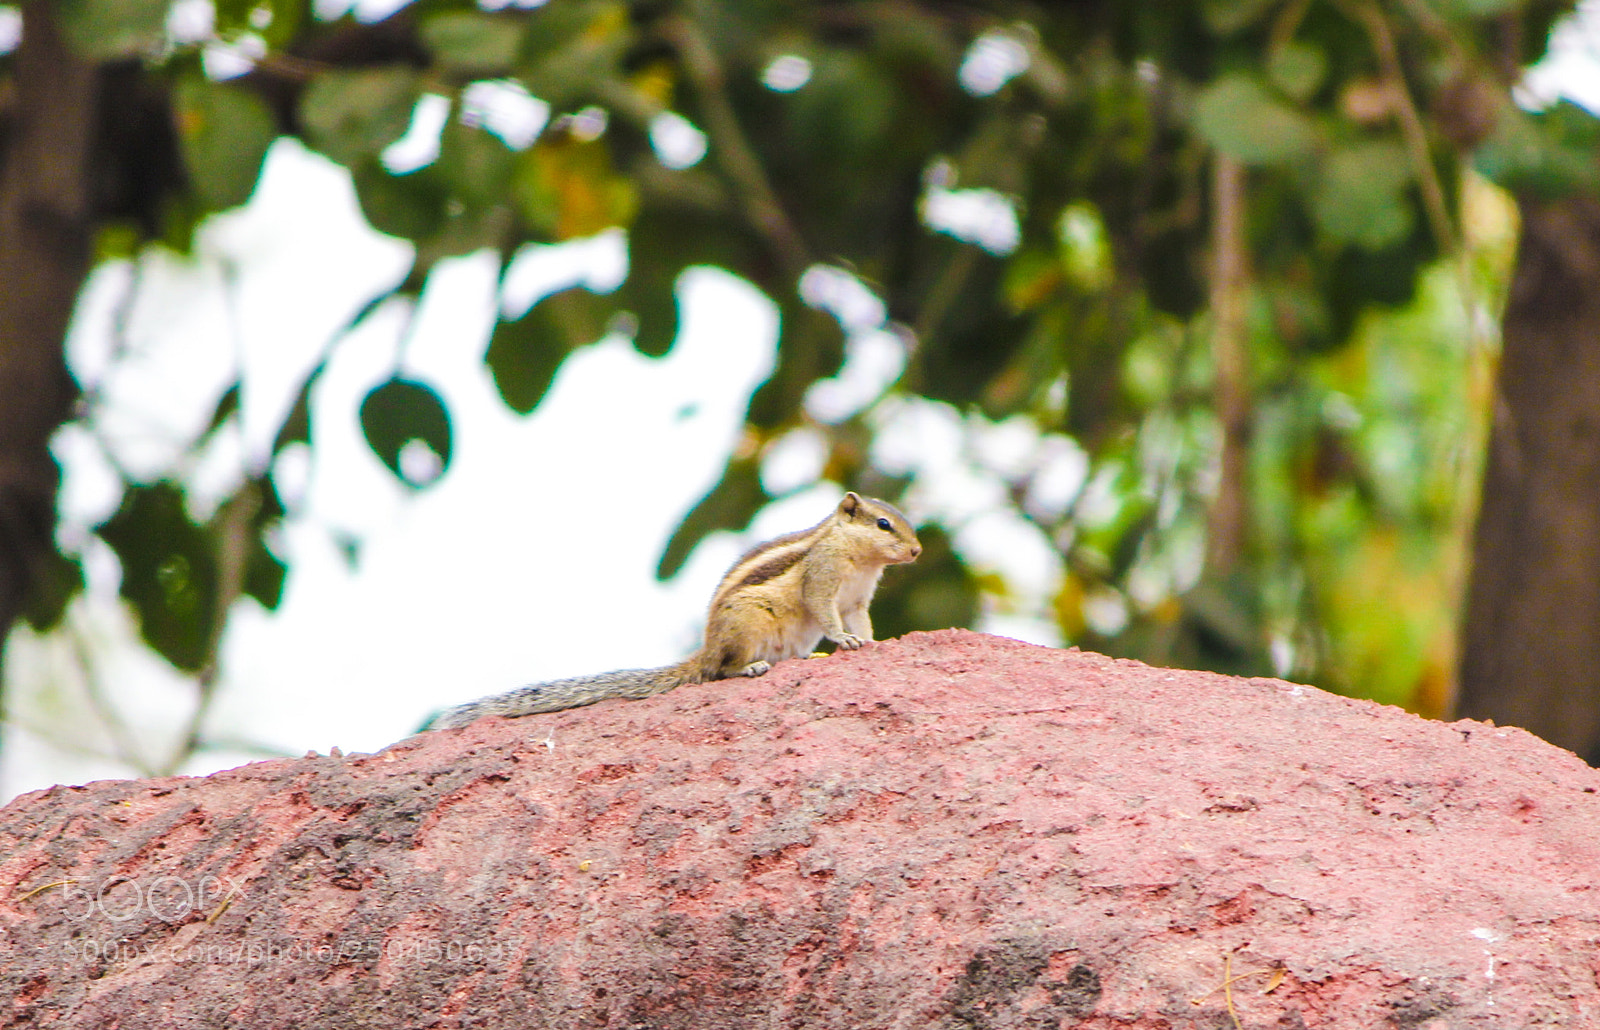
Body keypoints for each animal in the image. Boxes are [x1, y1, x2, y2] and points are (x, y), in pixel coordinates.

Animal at [427, 492, 922, 729]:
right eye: (883, 524)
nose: (918, 551)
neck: (860, 557)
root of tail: (707, 647)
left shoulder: (858, 598)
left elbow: (860, 619)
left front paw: (870, 641)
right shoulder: (822, 579)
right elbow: (824, 611)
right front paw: (844, 640)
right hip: (747, 625)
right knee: (722, 670)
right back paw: (749, 668)